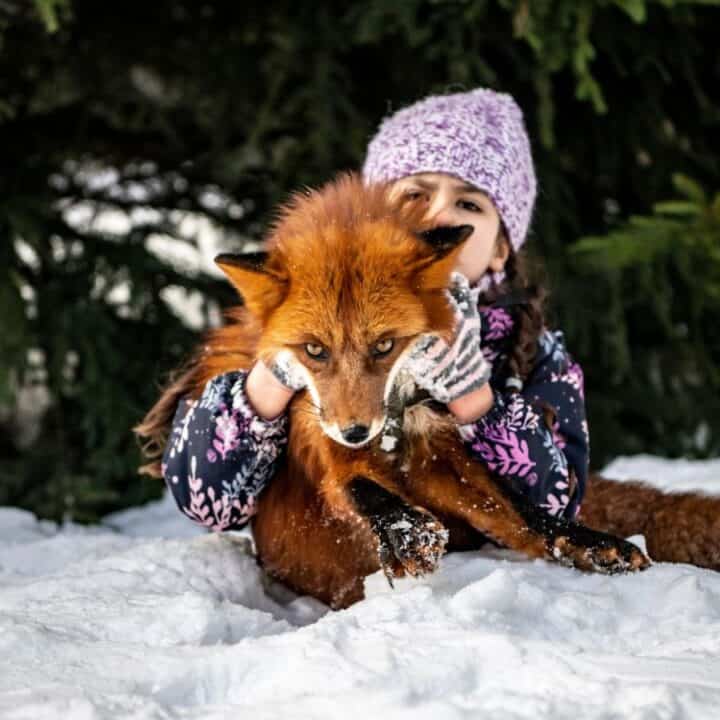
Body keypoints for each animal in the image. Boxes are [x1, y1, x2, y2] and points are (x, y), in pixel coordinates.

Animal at [137, 174, 720, 609]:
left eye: (384, 345)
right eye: (314, 351)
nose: (357, 430)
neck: (394, 419)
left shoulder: (435, 450)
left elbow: (519, 509)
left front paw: (587, 543)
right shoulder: (317, 437)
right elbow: (360, 487)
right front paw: (404, 531)